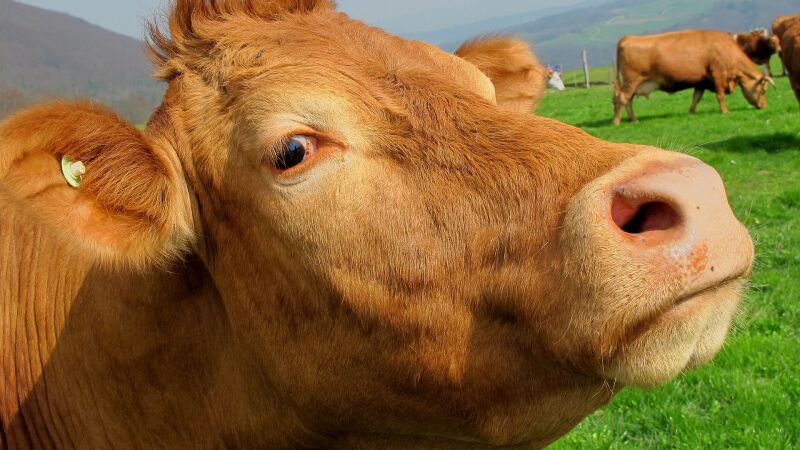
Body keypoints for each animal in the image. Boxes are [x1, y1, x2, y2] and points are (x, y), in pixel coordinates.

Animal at [613, 30, 774, 125]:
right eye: (763, 90)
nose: (763, 106)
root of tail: (627, 38)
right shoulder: (719, 74)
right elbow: (720, 95)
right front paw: (725, 111)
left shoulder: (701, 81)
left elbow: (696, 97)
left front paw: (692, 112)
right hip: (632, 81)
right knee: (622, 99)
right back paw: (619, 121)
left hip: (633, 84)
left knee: (627, 100)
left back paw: (632, 119)